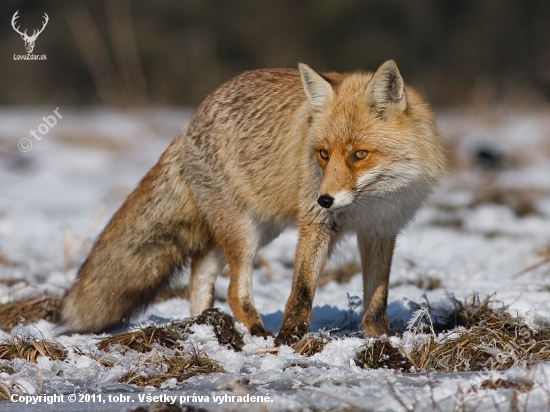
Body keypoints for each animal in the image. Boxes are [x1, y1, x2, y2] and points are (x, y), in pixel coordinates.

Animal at [61, 60, 448, 344]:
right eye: (323, 154)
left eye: (359, 155)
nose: (324, 198)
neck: (373, 200)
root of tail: (191, 120)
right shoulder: (315, 224)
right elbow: (302, 290)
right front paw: (289, 339)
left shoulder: (382, 231)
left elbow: (377, 297)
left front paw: (379, 338)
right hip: (244, 232)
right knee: (233, 289)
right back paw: (256, 332)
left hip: (259, 230)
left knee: (201, 267)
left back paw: (202, 324)